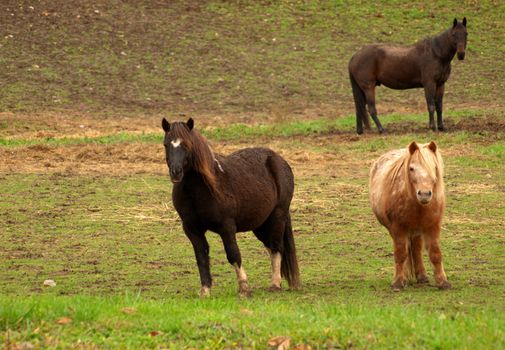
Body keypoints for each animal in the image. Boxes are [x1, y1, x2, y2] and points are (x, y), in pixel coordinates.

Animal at [160, 117, 300, 296]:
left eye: (187, 144)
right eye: (166, 144)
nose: (176, 172)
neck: (201, 189)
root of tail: (279, 160)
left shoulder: (226, 227)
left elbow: (233, 254)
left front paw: (244, 288)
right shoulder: (192, 229)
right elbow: (201, 257)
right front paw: (205, 291)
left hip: (278, 216)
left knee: (276, 247)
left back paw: (275, 284)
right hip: (260, 224)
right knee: (270, 246)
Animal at [366, 141, 448, 292]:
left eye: (434, 167)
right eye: (411, 168)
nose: (424, 194)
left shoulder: (433, 226)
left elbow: (435, 253)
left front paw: (443, 282)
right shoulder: (398, 228)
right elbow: (400, 254)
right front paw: (398, 282)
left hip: (417, 231)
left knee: (416, 249)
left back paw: (422, 276)